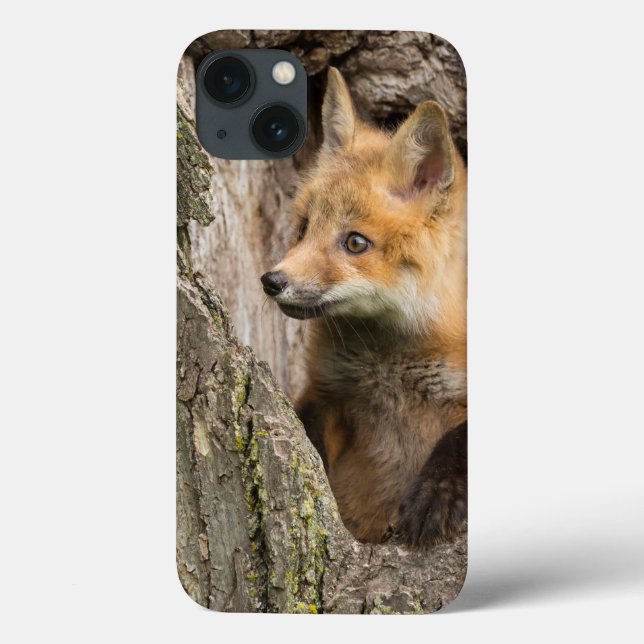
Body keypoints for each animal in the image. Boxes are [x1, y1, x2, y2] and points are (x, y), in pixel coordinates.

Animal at [261, 68, 467, 547]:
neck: (388, 364)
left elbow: (459, 440)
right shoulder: (327, 392)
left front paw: (435, 494)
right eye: (304, 227)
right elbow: (309, 440)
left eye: (355, 243)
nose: (272, 281)